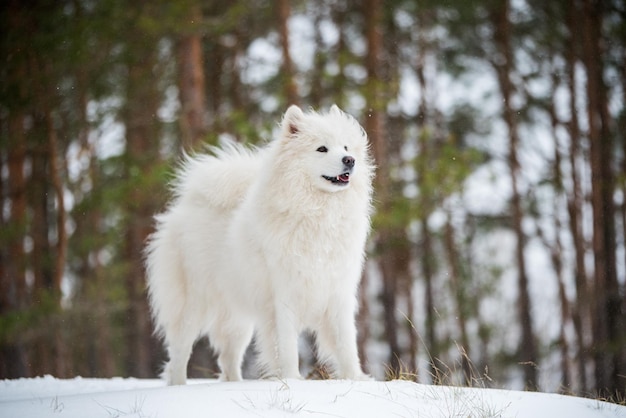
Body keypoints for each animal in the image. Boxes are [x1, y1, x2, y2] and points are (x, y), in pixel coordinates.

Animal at [145, 105, 370, 386]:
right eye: (322, 149)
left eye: (346, 147)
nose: (350, 160)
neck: (317, 214)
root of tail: (187, 205)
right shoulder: (284, 296)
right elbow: (287, 347)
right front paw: (292, 380)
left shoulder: (337, 292)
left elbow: (346, 343)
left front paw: (356, 379)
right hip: (194, 303)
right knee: (179, 350)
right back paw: (178, 386)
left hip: (237, 318)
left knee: (228, 358)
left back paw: (234, 384)